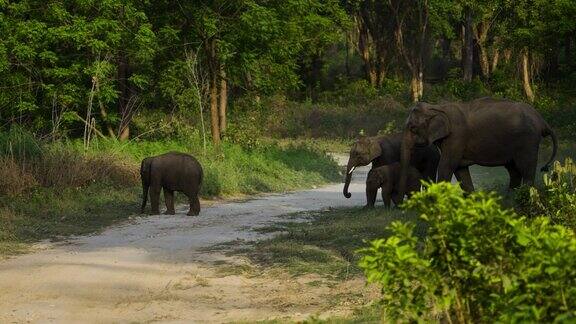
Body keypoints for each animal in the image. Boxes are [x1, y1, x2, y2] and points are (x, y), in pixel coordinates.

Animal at [398, 96, 556, 197]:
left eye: (412, 128)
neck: (436, 107)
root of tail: (542, 120)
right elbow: (460, 169)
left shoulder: (457, 136)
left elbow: (447, 166)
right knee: (514, 170)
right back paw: (510, 197)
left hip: (527, 140)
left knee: (526, 168)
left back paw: (524, 195)